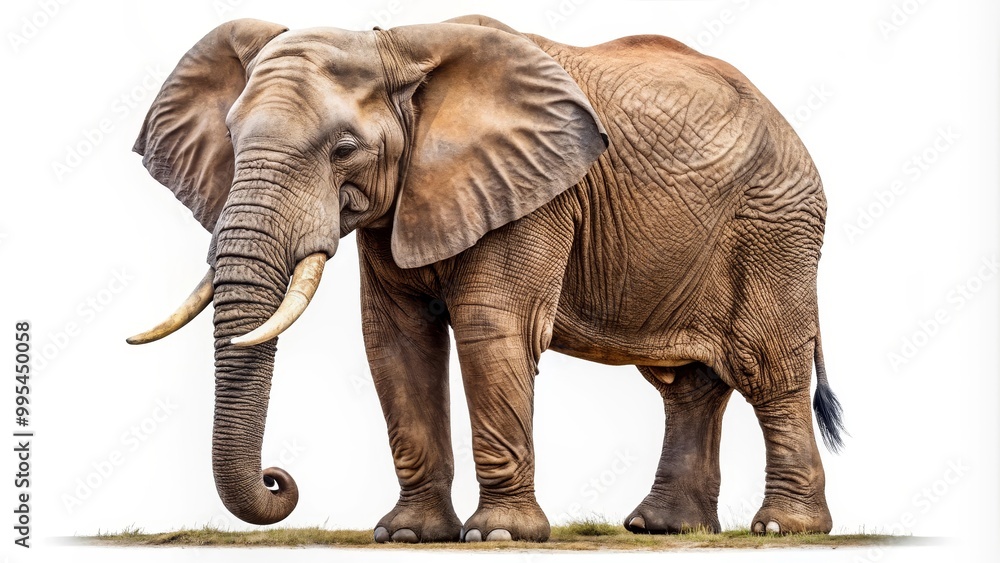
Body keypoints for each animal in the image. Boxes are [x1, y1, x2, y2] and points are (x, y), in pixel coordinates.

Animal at [127, 14, 845, 543]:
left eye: (344, 149)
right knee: (687, 386)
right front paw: (407, 536)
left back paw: (784, 528)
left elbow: (490, 330)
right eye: (231, 140)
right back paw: (662, 528)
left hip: (774, 228)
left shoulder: (535, 194)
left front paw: (498, 536)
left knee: (767, 369)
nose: (280, 478)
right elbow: (395, 341)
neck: (393, 46)